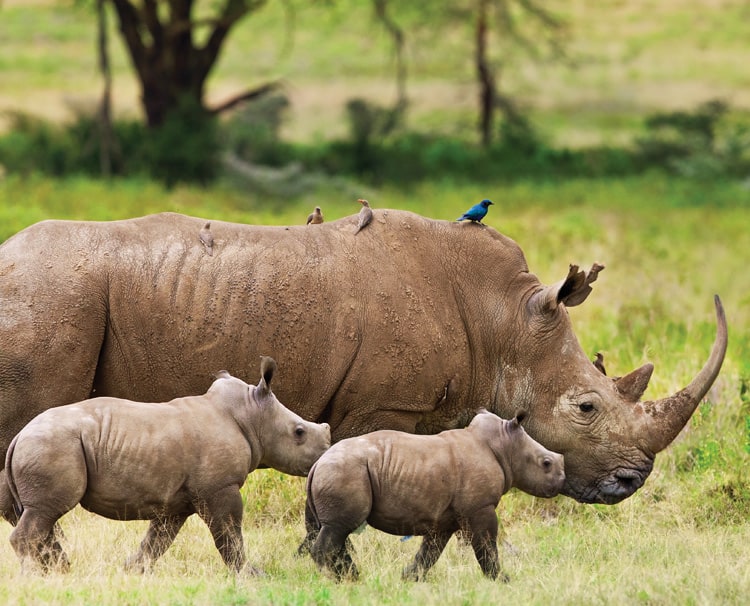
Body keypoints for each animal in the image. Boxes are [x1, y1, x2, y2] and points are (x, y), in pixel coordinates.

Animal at [3, 358, 332, 576]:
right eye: (299, 432)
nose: (326, 452)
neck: (251, 415)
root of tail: (19, 435)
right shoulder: (220, 487)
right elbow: (229, 534)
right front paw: (251, 576)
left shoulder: (176, 499)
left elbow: (158, 540)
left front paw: (131, 572)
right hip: (53, 444)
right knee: (47, 510)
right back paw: (34, 576)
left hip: (48, 444)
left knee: (41, 513)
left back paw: (57, 572)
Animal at [300, 414, 564, 584]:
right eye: (546, 464)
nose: (562, 480)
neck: (505, 446)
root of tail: (317, 464)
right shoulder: (481, 507)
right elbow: (487, 544)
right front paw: (503, 580)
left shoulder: (444, 517)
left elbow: (430, 551)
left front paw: (409, 578)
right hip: (345, 471)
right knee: (339, 527)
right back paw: (339, 580)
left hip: (339, 471)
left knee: (337, 530)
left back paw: (353, 578)